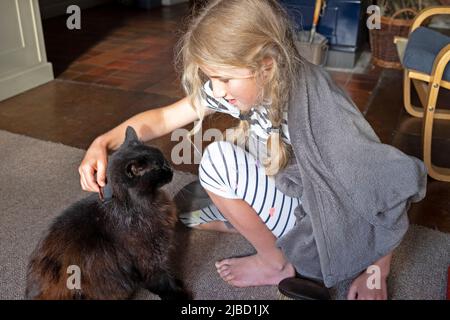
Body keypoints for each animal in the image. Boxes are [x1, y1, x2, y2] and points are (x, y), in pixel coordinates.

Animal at [26, 125, 188, 300]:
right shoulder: (150, 257)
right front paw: (180, 294)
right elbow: (162, 281)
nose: (171, 169)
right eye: (159, 167)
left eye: (165, 160)